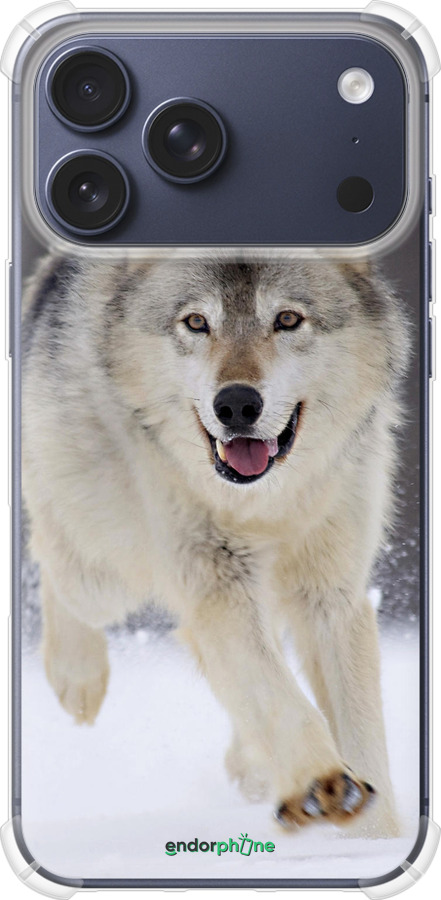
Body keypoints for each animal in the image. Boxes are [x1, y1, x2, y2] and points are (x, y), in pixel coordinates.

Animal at [22, 253, 408, 836]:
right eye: (197, 322)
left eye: (287, 319)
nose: (237, 404)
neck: (264, 503)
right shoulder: (216, 583)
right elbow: (278, 695)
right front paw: (322, 783)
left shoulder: (331, 596)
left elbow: (360, 732)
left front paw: (374, 838)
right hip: (105, 571)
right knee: (54, 558)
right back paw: (77, 679)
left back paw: (253, 766)